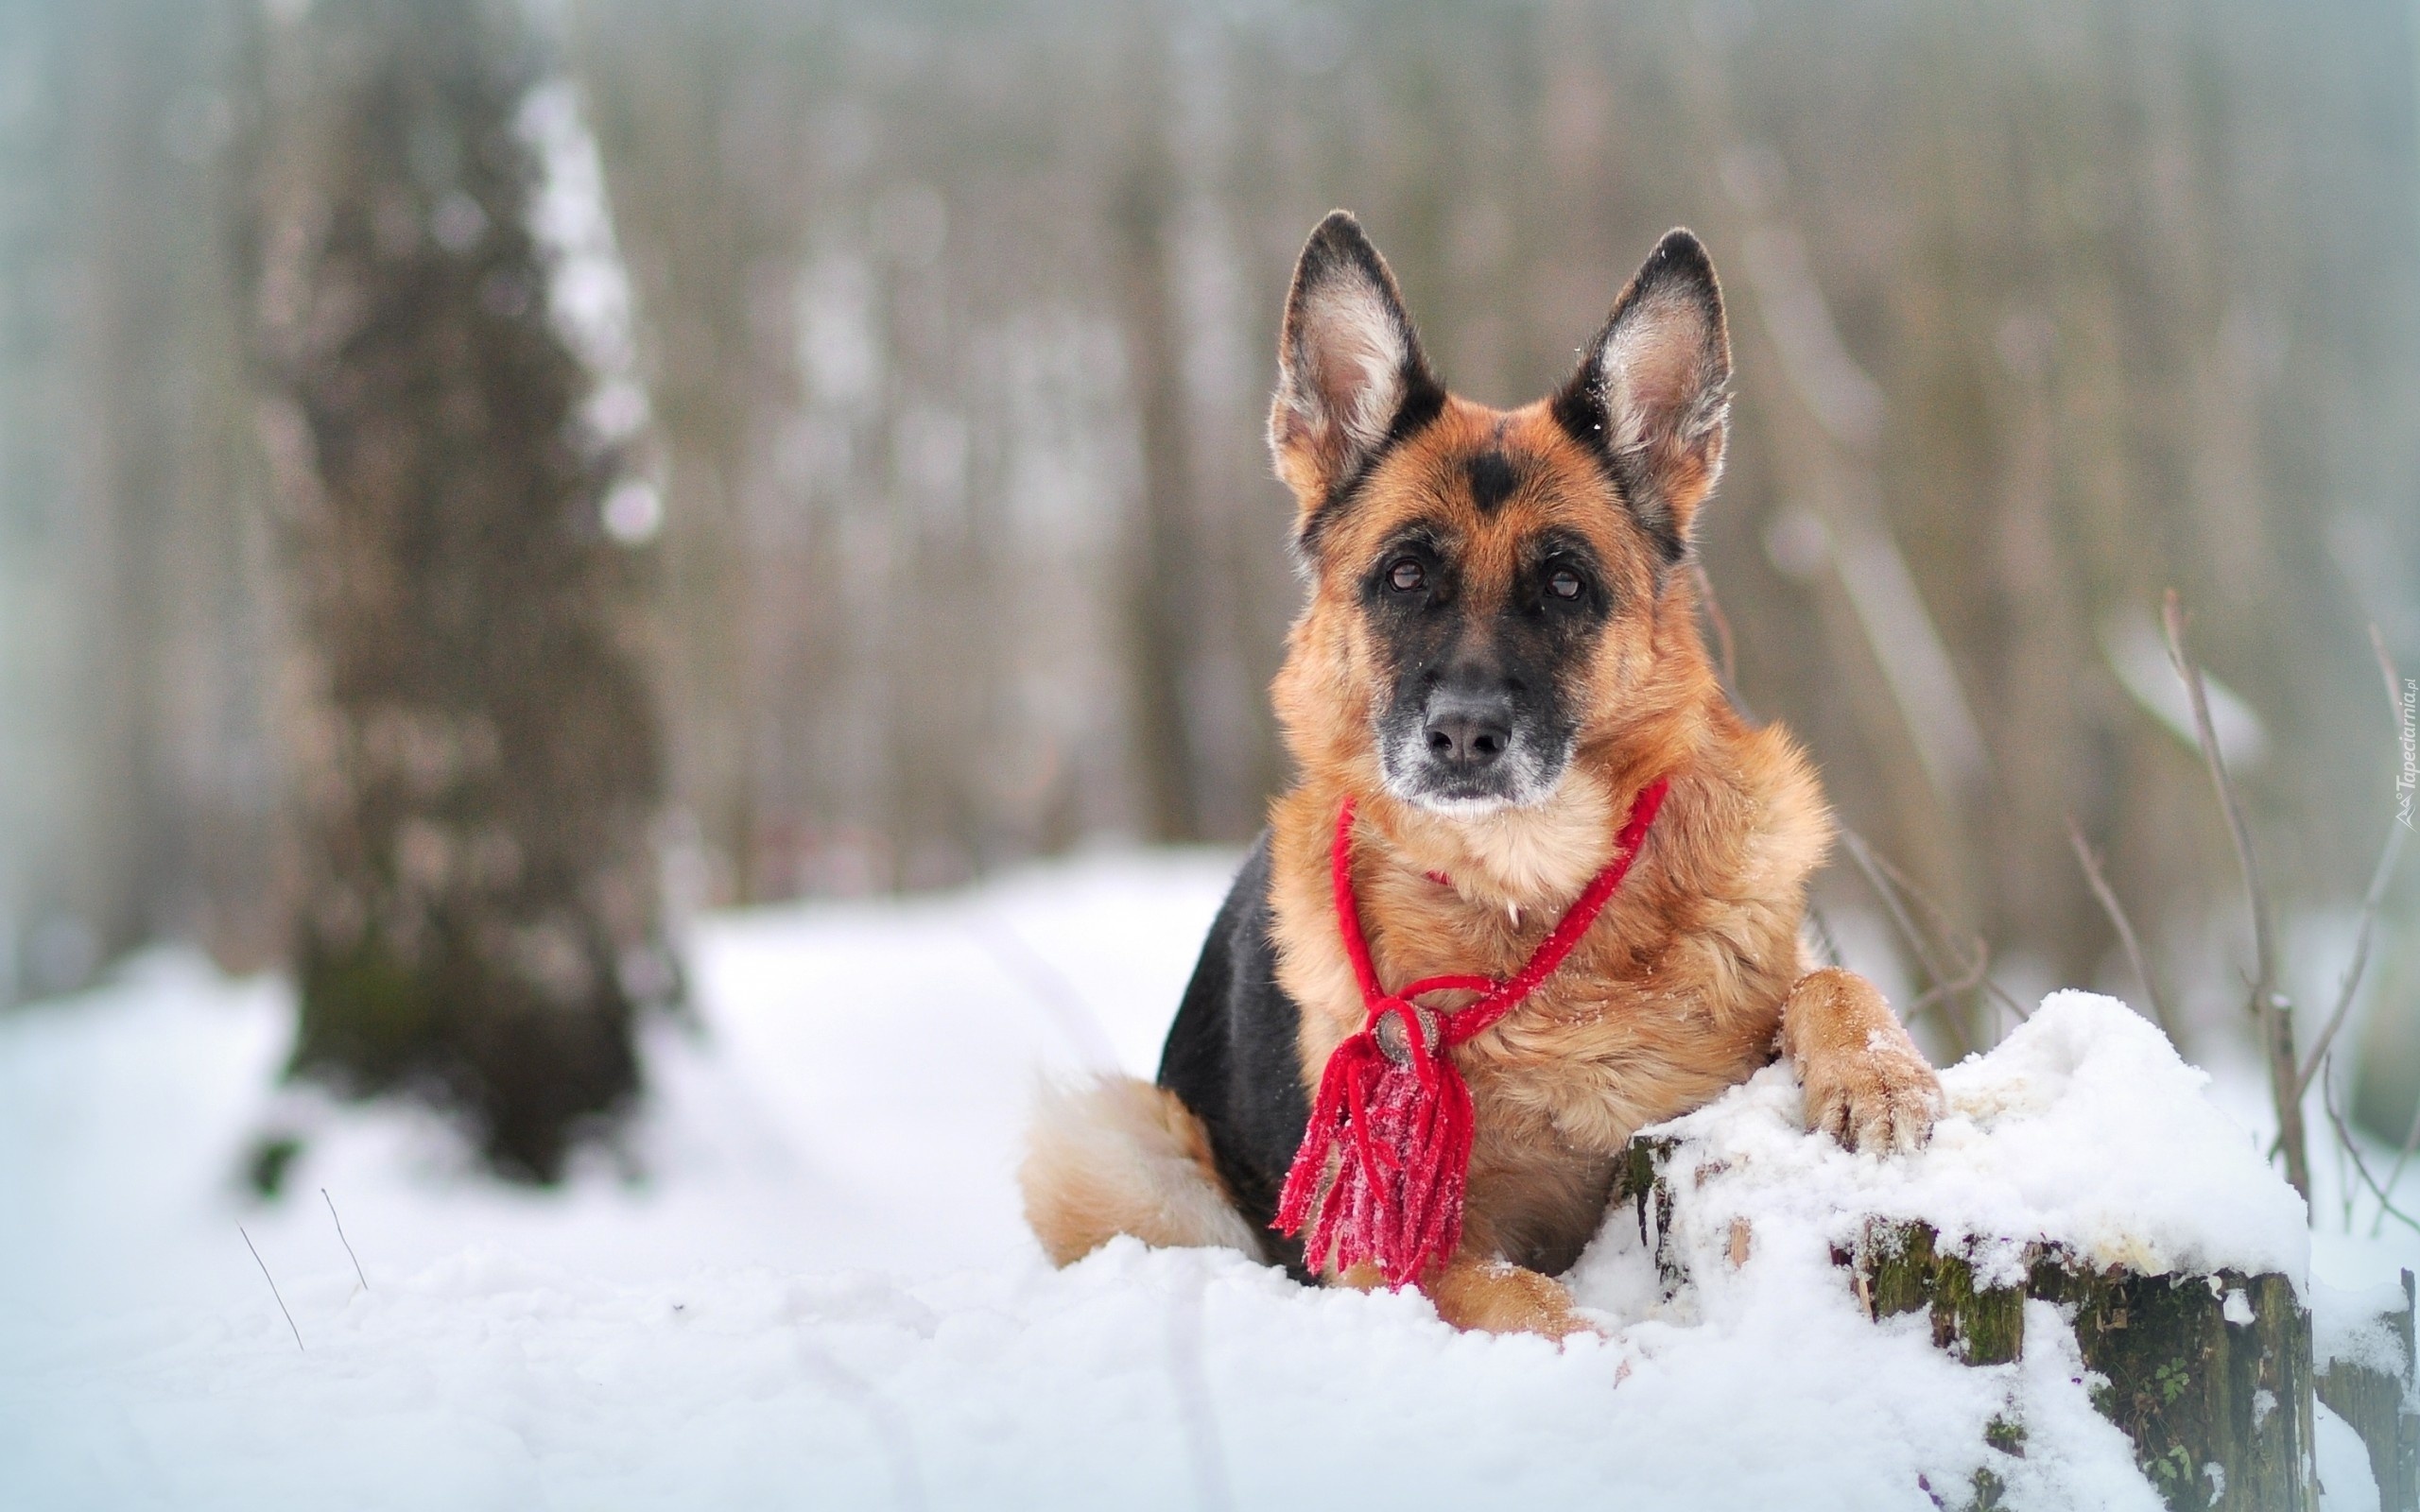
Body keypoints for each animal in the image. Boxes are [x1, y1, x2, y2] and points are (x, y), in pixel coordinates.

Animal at [1021, 209, 1945, 1335]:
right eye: (1406, 574)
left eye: (1566, 583)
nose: (1463, 735)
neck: (1523, 893)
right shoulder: (1394, 1254)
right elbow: (1541, 1307)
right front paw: (1631, 1354)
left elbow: (1830, 977)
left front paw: (1881, 1078)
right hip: (1113, 1148)